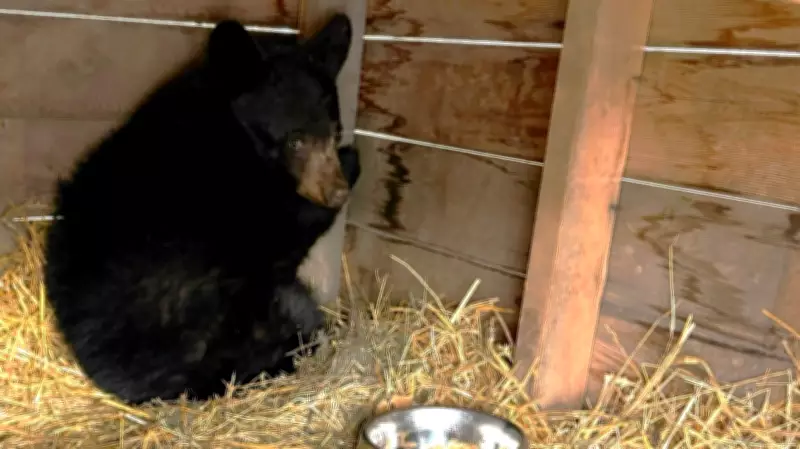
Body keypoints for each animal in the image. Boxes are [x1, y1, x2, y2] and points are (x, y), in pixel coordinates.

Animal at [42, 14, 361, 405]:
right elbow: (288, 226)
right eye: (295, 140)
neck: (231, 129)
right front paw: (351, 162)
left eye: (333, 130)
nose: (337, 193)